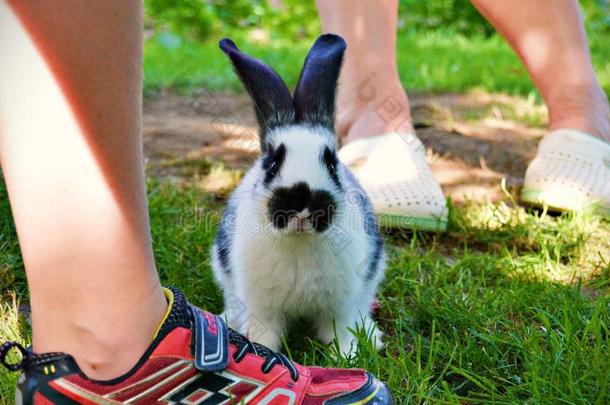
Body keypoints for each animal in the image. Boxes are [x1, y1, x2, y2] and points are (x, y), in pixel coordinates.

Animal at [210, 35, 384, 356]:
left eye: (332, 163)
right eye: (272, 163)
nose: (304, 204)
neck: (300, 240)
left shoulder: (340, 306)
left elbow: (340, 330)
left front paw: (346, 356)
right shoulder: (260, 306)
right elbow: (264, 334)